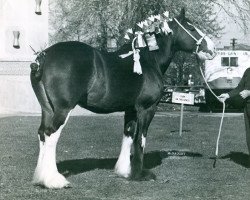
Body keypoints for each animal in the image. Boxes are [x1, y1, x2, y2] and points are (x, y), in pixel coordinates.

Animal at [30, 8, 216, 189]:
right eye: (192, 28)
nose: (212, 49)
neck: (148, 60)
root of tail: (43, 57)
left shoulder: (131, 110)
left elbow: (128, 135)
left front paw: (124, 171)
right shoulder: (147, 108)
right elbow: (141, 138)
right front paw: (139, 174)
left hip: (47, 108)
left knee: (42, 133)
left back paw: (40, 178)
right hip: (63, 109)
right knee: (51, 134)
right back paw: (54, 181)